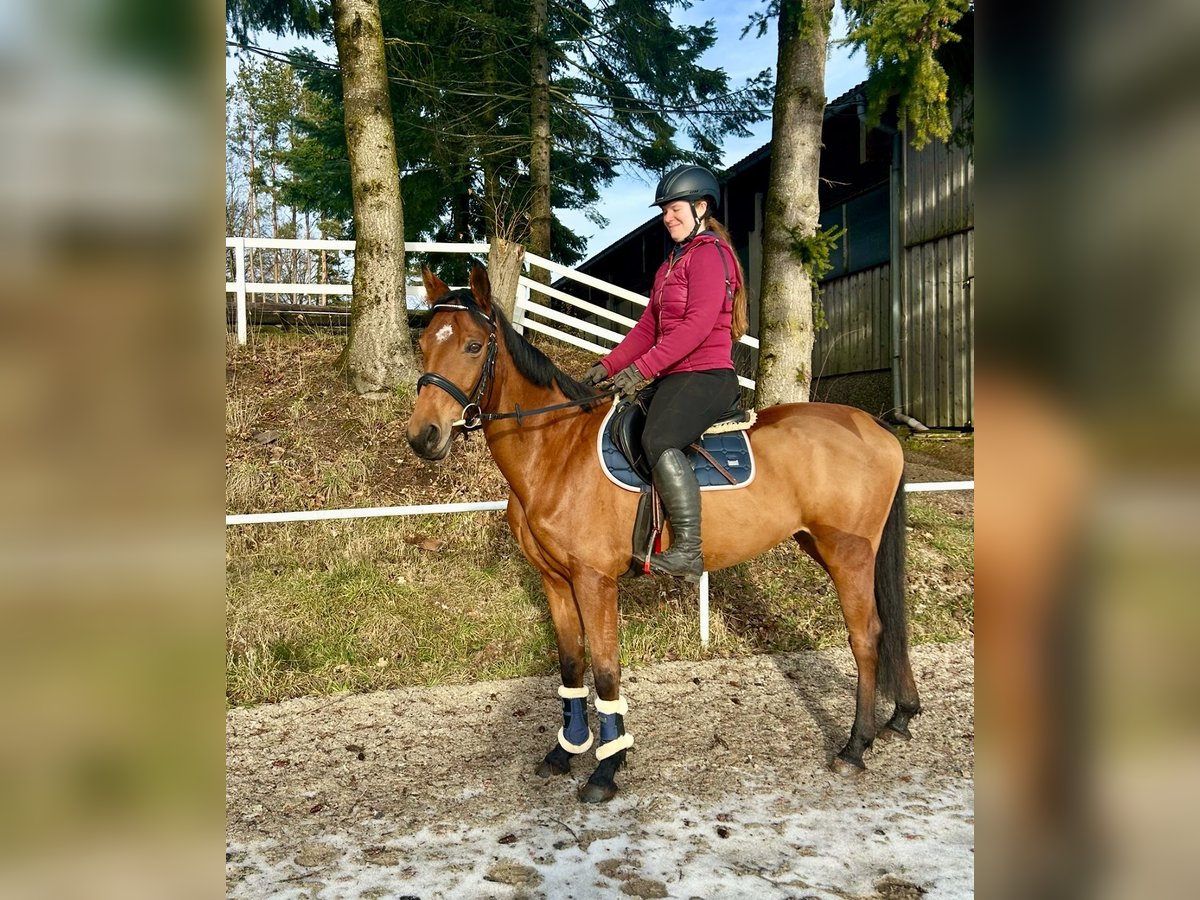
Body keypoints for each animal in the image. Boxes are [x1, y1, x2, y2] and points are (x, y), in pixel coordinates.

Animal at [408, 262, 921, 801]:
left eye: (473, 346)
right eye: (423, 344)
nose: (424, 436)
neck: (556, 448)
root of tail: (875, 426)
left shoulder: (594, 581)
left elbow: (606, 670)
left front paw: (606, 769)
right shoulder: (556, 581)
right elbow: (570, 663)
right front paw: (565, 752)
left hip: (848, 553)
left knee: (867, 635)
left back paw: (856, 746)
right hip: (831, 547)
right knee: (889, 623)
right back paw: (901, 716)